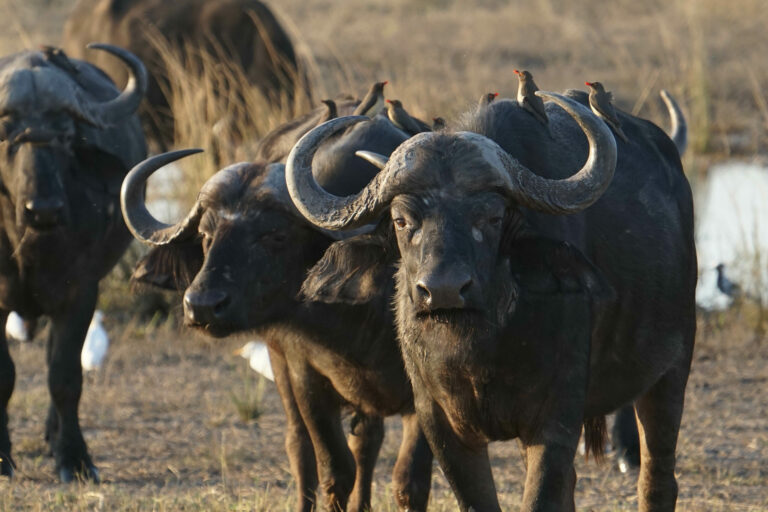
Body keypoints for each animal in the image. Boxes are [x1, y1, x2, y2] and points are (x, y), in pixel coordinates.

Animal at [0, 44, 147, 480]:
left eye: (65, 135)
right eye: (6, 134)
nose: (44, 209)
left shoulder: (79, 293)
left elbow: (64, 375)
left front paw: (74, 458)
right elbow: (5, 376)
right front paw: (2, 457)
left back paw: (52, 437)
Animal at [121, 116, 432, 512]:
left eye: (275, 235)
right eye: (206, 235)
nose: (202, 304)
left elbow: (409, 481)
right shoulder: (306, 378)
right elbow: (335, 470)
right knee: (303, 448)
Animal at [286, 90, 696, 510]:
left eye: (492, 217)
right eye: (401, 221)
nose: (444, 290)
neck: (479, 350)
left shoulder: (555, 419)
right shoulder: (441, 426)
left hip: (671, 370)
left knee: (657, 479)